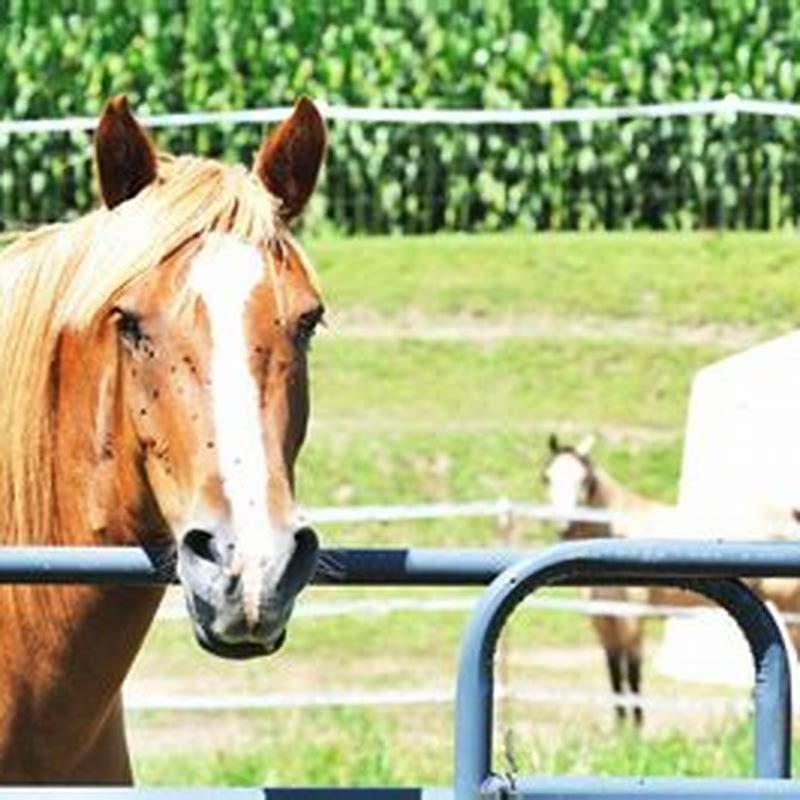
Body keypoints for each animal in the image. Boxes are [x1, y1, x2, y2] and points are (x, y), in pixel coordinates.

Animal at [542, 434, 668, 726]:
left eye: (584, 480)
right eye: (547, 477)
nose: (563, 527)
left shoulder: (631, 618)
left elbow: (632, 672)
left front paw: (637, 728)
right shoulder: (602, 617)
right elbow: (614, 671)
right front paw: (620, 727)